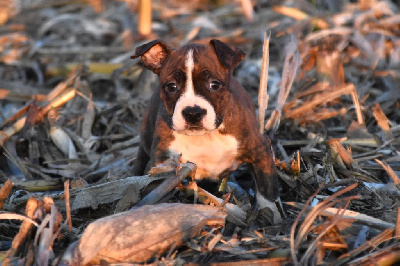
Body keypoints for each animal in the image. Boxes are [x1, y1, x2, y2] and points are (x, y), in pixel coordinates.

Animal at [132, 38, 282, 221]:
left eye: (214, 85)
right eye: (171, 87)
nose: (193, 112)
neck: (204, 136)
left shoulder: (260, 151)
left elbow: (267, 188)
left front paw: (272, 216)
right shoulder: (160, 164)